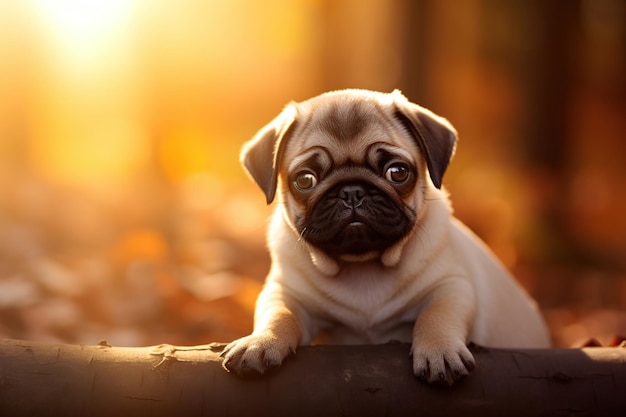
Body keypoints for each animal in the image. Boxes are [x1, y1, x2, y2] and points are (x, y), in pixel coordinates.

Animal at [221, 89, 544, 386]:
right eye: (305, 179)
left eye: (397, 172)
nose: (352, 191)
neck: (363, 267)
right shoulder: (285, 292)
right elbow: (278, 314)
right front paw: (260, 342)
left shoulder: (451, 286)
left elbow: (436, 315)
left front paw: (439, 351)